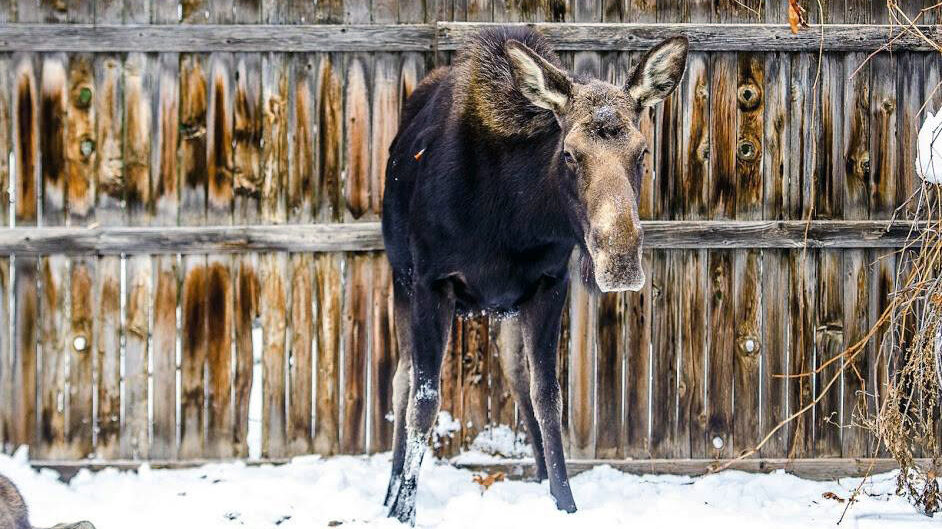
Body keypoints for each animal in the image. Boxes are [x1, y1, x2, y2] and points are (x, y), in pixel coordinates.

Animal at [381, 26, 688, 525]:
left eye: (642, 151)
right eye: (570, 154)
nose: (621, 260)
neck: (512, 216)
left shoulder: (547, 284)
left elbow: (548, 395)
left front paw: (563, 500)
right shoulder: (431, 283)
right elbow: (424, 401)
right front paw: (404, 509)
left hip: (505, 308)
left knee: (516, 375)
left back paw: (541, 475)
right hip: (400, 282)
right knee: (400, 383)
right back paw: (389, 492)